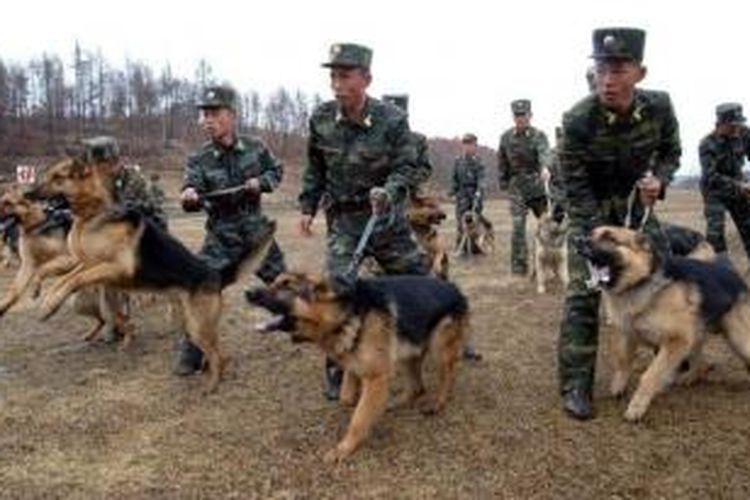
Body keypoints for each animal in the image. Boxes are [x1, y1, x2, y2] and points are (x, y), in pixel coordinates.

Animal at [31, 158, 276, 392]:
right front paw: (46, 299)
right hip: (188, 322)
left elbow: (74, 279)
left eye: (57, 177)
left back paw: (211, 388)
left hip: (199, 326)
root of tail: (216, 274)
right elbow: (64, 278)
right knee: (212, 353)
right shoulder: (89, 264)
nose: (28, 193)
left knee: (222, 357)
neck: (93, 213)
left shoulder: (115, 266)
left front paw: (49, 305)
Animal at [247, 272, 470, 462]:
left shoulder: (376, 376)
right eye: (274, 282)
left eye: (287, 286)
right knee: (417, 387)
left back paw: (437, 403)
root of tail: (453, 287)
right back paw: (398, 402)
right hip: (409, 351)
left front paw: (345, 448)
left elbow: (359, 418)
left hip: (439, 349)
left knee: (447, 376)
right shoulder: (356, 364)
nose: (248, 292)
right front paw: (355, 400)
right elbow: (347, 396)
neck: (344, 314)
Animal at [580, 227, 748, 422]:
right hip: (697, 335)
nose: (578, 240)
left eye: (610, 238)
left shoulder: (676, 341)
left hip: (739, 339)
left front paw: (637, 406)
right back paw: (692, 376)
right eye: (591, 234)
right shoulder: (628, 334)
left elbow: (649, 375)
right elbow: (623, 360)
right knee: (698, 359)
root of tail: (734, 274)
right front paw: (619, 386)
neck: (640, 281)